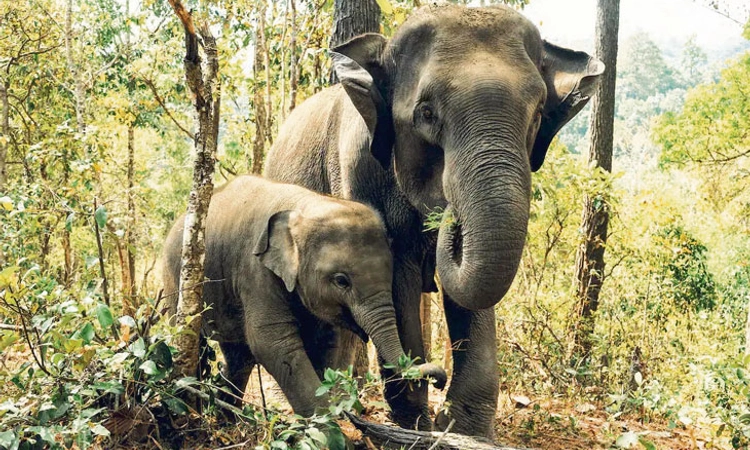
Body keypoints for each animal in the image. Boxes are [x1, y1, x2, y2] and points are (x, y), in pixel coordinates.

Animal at [162, 175, 447, 417]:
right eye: (341, 281)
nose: (440, 381)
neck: (305, 205)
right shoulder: (255, 271)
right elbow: (273, 342)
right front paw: (333, 429)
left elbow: (326, 341)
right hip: (175, 281)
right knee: (195, 341)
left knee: (239, 357)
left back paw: (227, 418)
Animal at [263, 4, 604, 437]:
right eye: (426, 113)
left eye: (538, 114)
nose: (449, 215)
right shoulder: (358, 172)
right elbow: (397, 278)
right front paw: (416, 426)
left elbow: (471, 294)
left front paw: (464, 430)